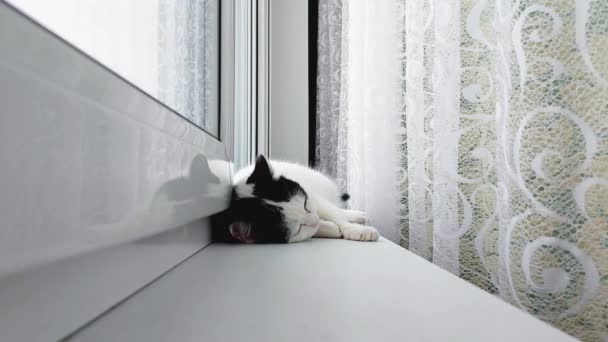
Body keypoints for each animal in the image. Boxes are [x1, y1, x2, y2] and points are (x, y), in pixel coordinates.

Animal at [211, 155, 378, 243]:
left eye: (305, 205)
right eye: (299, 227)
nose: (316, 219)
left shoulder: (313, 198)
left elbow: (337, 216)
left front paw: (356, 230)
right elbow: (320, 227)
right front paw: (330, 228)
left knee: (338, 209)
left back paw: (357, 216)